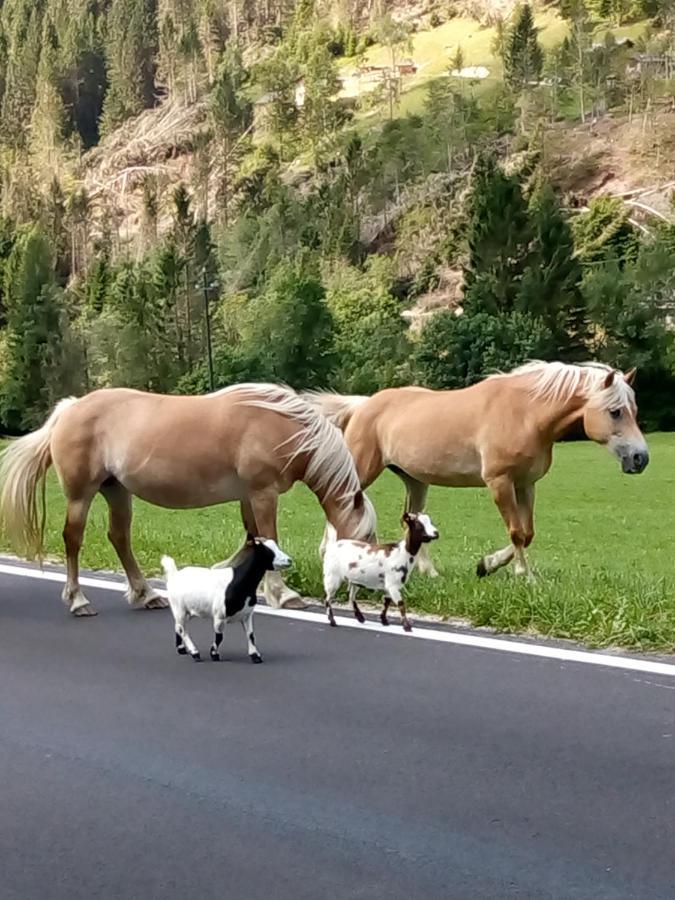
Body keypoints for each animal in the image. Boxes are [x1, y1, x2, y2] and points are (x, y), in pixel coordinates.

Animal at [0, 384, 374, 616]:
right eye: (368, 537)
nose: (368, 585)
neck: (284, 427)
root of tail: (69, 409)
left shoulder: (248, 495)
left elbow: (250, 537)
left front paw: (224, 572)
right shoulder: (262, 492)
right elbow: (267, 538)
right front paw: (284, 595)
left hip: (117, 491)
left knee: (119, 538)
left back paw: (147, 594)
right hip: (81, 495)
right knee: (73, 540)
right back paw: (78, 600)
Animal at [163, 536, 294, 660]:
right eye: (267, 551)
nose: (289, 560)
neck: (238, 581)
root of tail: (174, 574)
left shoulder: (247, 615)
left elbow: (251, 635)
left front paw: (255, 656)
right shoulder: (219, 616)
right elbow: (220, 637)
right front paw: (214, 654)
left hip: (189, 610)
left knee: (178, 626)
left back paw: (181, 649)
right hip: (179, 608)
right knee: (182, 629)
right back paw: (194, 652)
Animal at [302, 362, 648, 580]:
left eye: (634, 410)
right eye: (615, 412)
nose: (641, 458)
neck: (526, 414)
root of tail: (363, 405)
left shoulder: (526, 484)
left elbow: (528, 533)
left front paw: (487, 565)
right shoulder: (500, 482)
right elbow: (517, 532)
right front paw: (524, 575)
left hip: (416, 481)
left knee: (410, 521)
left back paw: (429, 573)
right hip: (362, 469)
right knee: (338, 506)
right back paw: (329, 555)